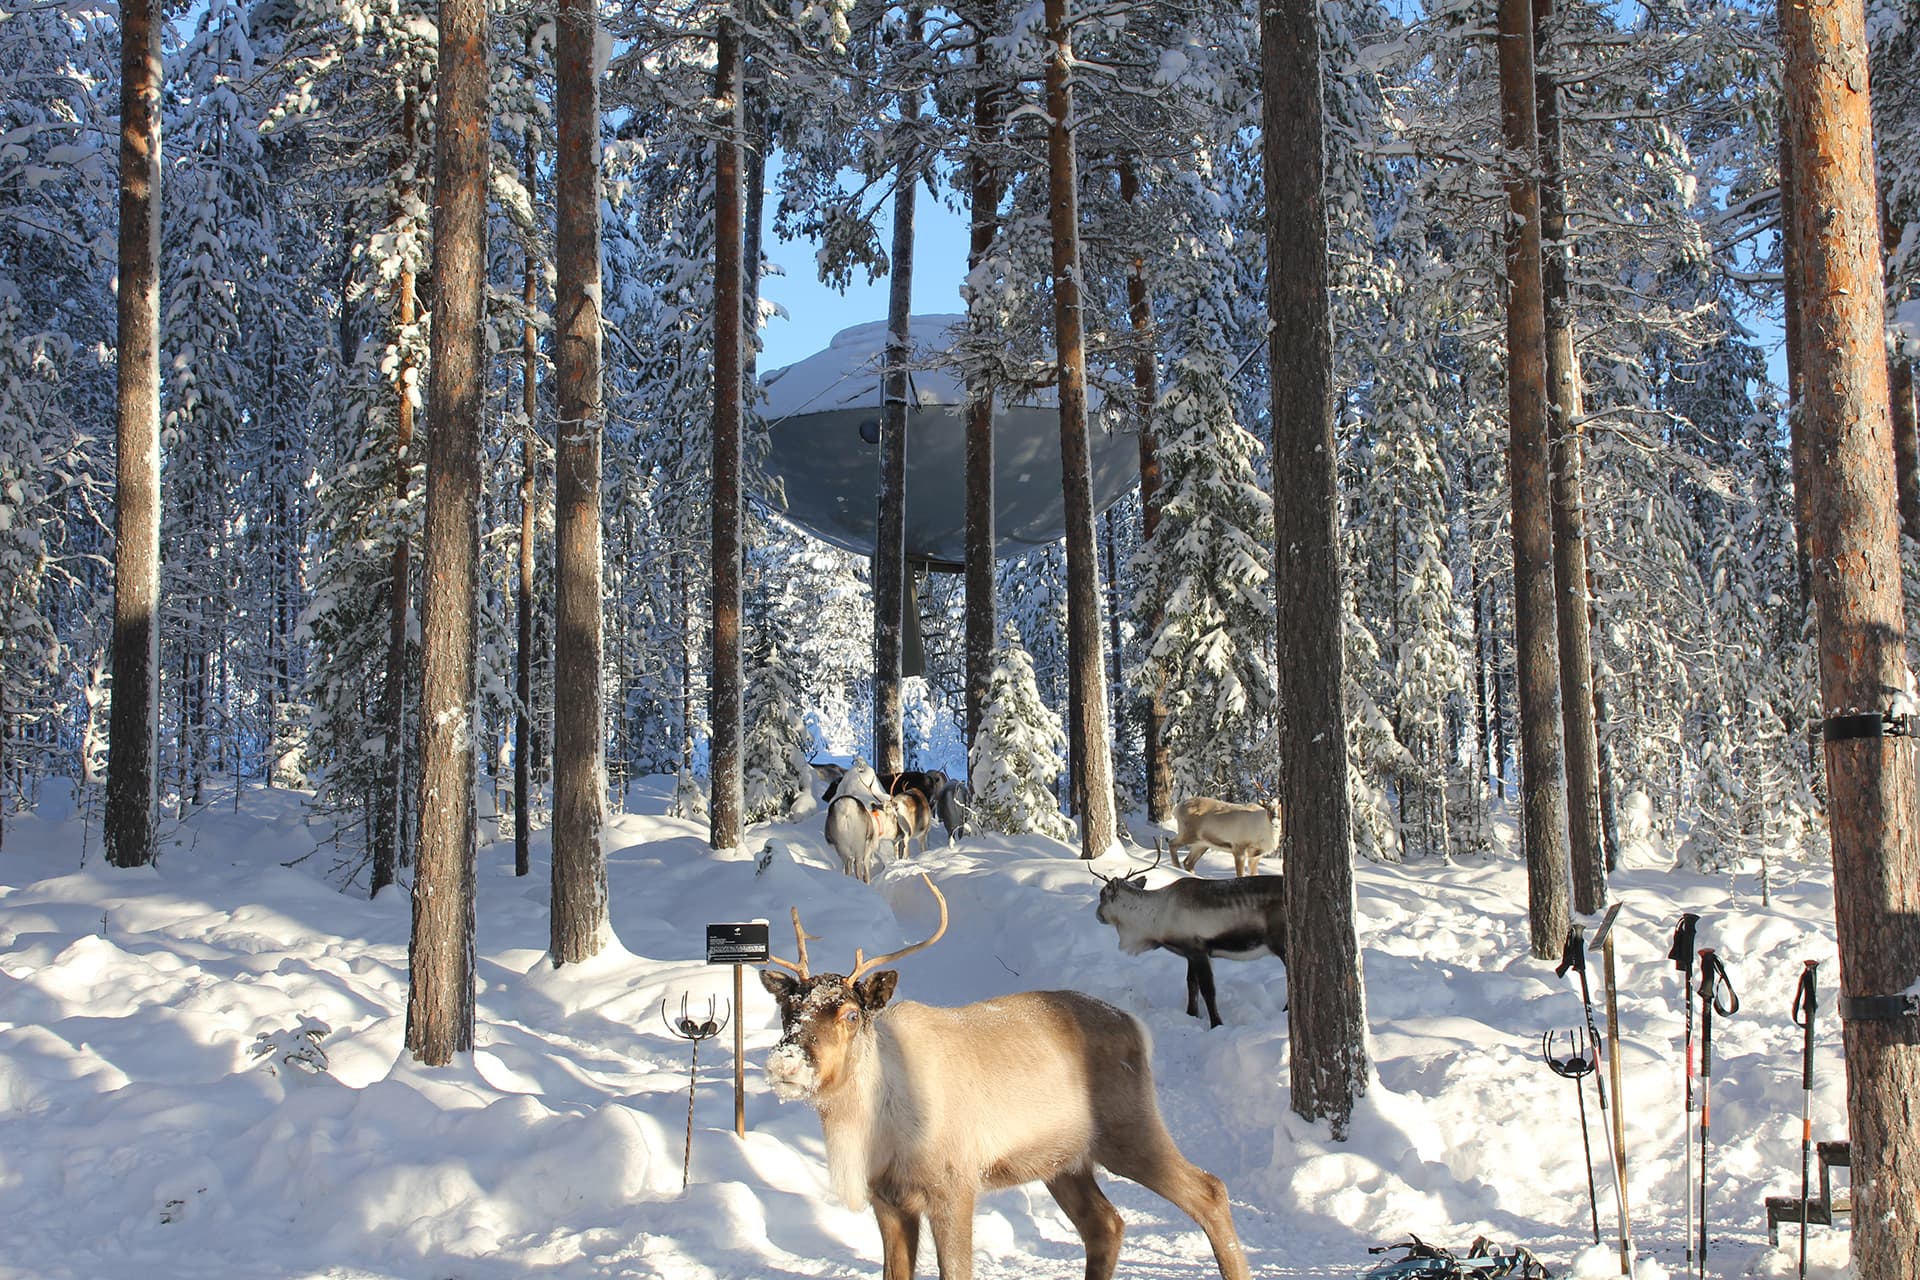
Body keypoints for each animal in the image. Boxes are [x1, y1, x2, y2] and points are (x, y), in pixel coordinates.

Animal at [758, 876, 1252, 1280]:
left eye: (850, 1013)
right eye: (788, 1009)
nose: (786, 1064)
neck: (873, 1125)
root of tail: (1137, 1028)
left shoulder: (953, 1185)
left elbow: (956, 1271)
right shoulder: (888, 1199)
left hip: (1129, 1129)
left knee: (1210, 1190)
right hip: (1063, 1160)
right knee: (1106, 1223)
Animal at [1092, 852, 1287, 1028]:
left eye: (1102, 895)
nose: (1097, 915)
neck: (1155, 917)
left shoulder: (1199, 950)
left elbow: (1208, 990)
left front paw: (1216, 1024)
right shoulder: (1189, 953)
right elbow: (1191, 984)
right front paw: (1191, 1014)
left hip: (1281, 945)